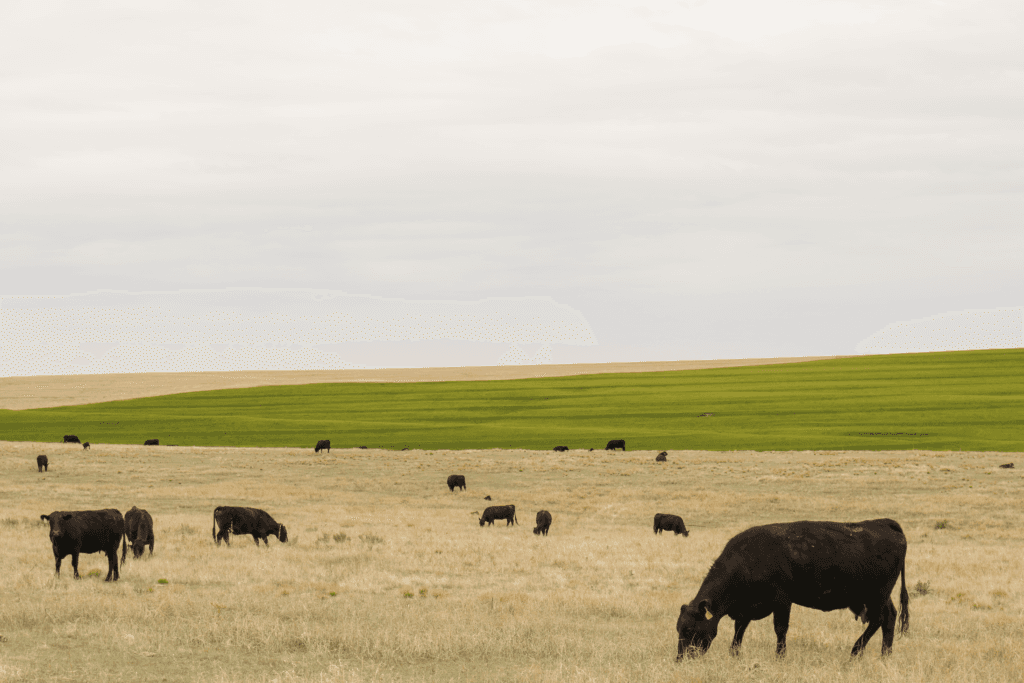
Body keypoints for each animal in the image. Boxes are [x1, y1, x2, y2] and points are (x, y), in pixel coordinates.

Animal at [676, 519, 909, 659]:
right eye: (679, 629)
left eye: (690, 630)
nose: (681, 659)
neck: (748, 558)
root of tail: (882, 523)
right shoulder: (747, 607)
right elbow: (739, 629)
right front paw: (735, 653)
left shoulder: (782, 600)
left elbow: (780, 629)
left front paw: (780, 656)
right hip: (877, 596)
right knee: (889, 618)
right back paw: (885, 655)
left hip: (877, 594)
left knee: (878, 620)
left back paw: (855, 652)